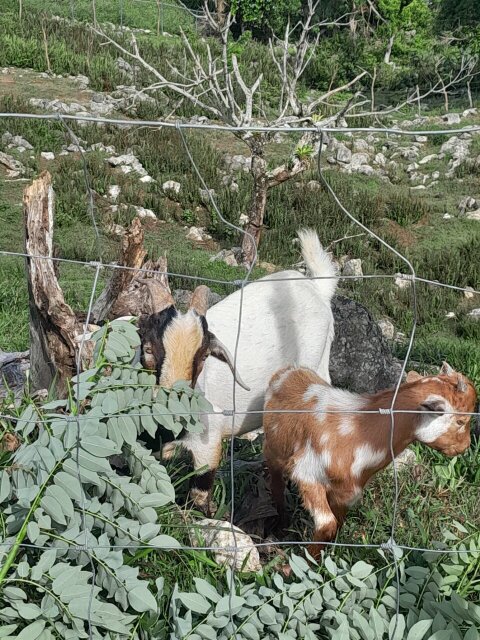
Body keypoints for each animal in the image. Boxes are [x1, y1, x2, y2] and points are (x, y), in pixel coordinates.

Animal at [138, 229, 338, 513]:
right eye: (148, 349)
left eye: (204, 356)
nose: (179, 412)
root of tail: (317, 288)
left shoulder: (207, 441)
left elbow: (199, 494)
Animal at [263, 362, 477, 559]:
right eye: (461, 421)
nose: (465, 446)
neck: (358, 432)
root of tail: (289, 369)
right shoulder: (306, 473)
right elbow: (327, 524)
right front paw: (304, 564)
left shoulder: (346, 494)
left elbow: (337, 524)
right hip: (272, 452)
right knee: (276, 486)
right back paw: (281, 526)